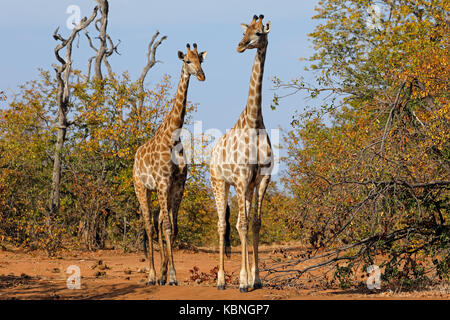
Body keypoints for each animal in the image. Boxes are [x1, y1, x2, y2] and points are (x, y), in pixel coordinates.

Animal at [133, 42, 208, 284]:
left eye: (201, 60)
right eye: (187, 61)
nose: (201, 76)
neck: (172, 137)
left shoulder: (177, 186)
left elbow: (173, 228)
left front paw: (168, 274)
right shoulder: (162, 183)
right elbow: (166, 227)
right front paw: (172, 276)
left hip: (157, 190)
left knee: (156, 223)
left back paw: (160, 274)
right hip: (142, 188)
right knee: (148, 226)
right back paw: (151, 274)